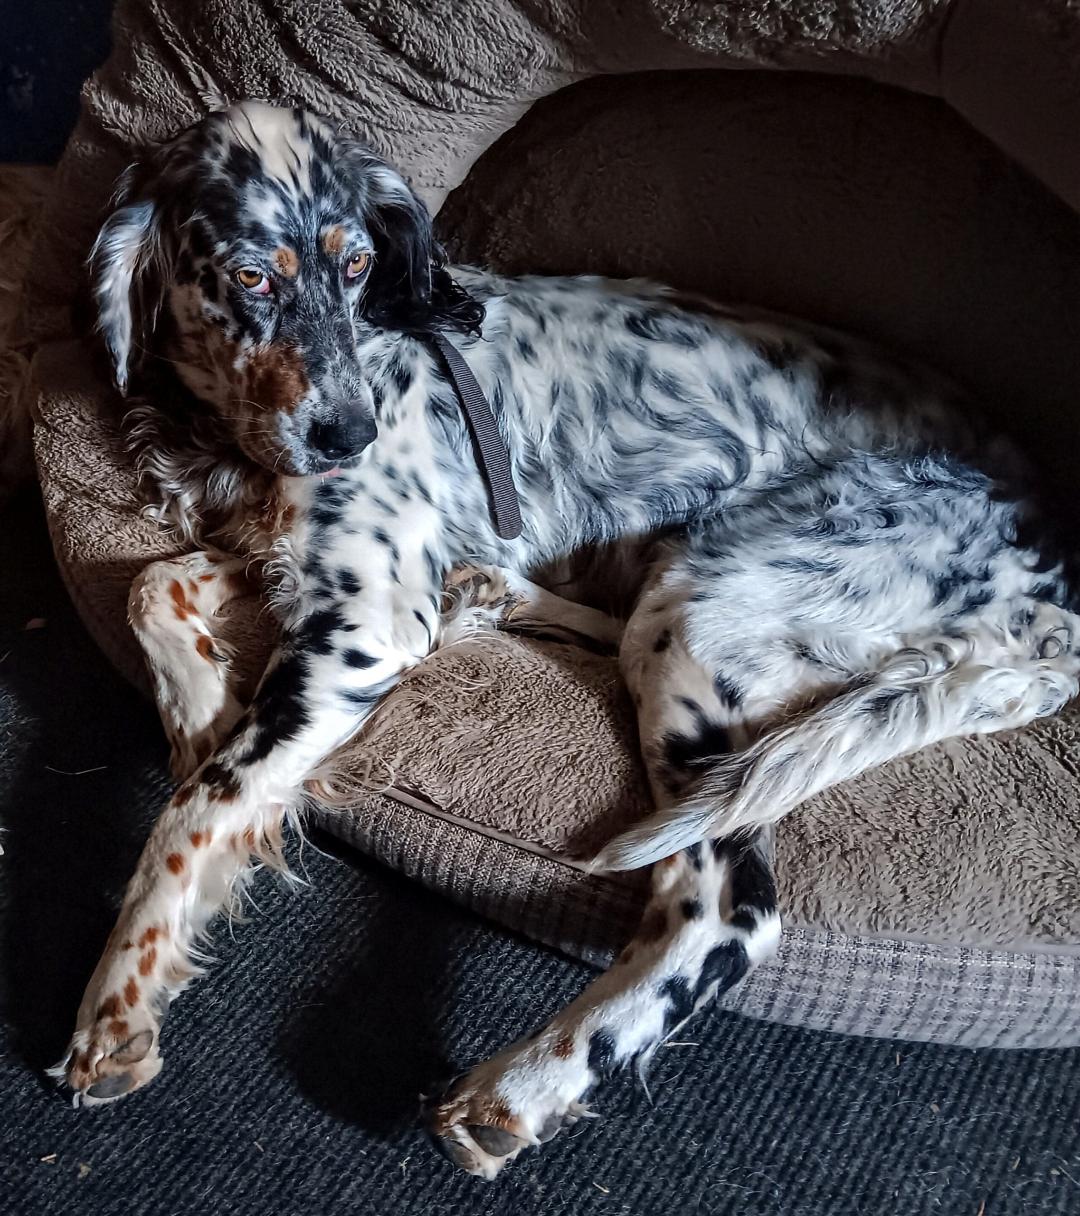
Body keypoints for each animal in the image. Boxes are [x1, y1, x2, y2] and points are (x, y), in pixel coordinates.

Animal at [52, 100, 1079, 1179]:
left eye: (358, 265)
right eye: (252, 277)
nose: (348, 435)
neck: (234, 433)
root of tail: (1054, 584)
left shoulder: (369, 619)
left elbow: (195, 808)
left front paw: (119, 1000)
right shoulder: (292, 563)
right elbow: (151, 591)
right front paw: (204, 716)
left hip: (699, 613)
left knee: (728, 912)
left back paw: (522, 1086)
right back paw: (486, 594)